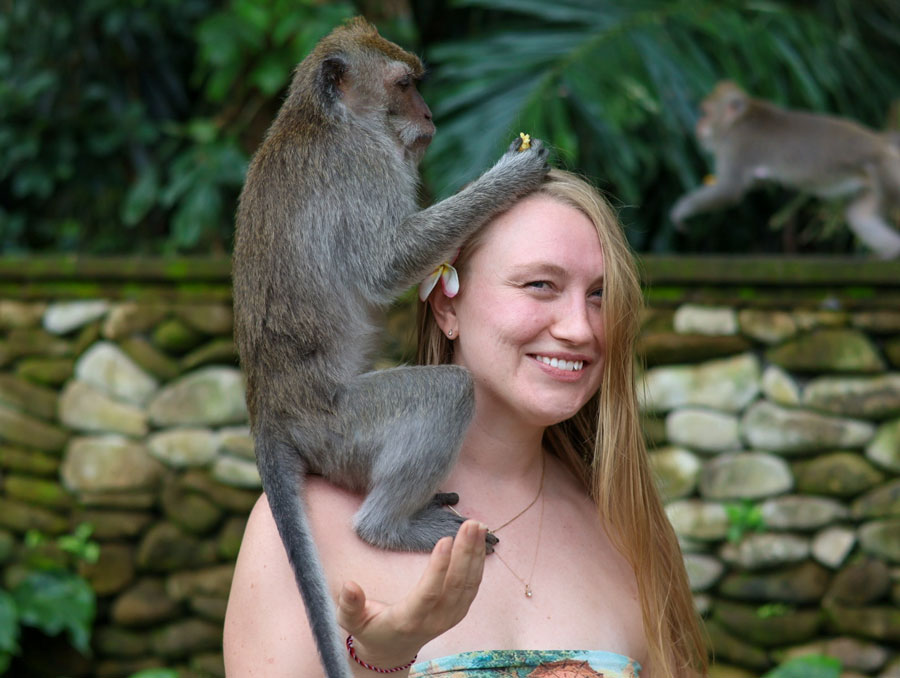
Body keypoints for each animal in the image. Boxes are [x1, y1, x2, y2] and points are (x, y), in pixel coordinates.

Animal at [670, 81, 900, 258]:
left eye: (706, 112)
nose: (698, 125)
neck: (740, 119)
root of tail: (882, 143)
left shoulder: (736, 146)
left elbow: (729, 190)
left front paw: (682, 209)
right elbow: (755, 183)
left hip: (888, 172)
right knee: (859, 215)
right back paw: (892, 251)